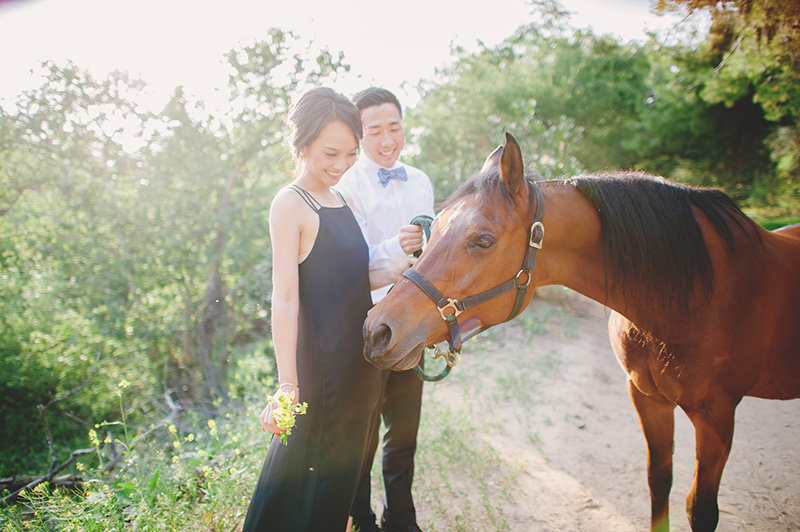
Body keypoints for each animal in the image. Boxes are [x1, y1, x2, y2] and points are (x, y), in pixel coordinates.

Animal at [364, 134, 800, 532]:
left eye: (483, 240)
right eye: (432, 229)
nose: (376, 330)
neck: (691, 293)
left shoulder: (717, 418)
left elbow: (701, 509)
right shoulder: (646, 398)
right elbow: (659, 482)